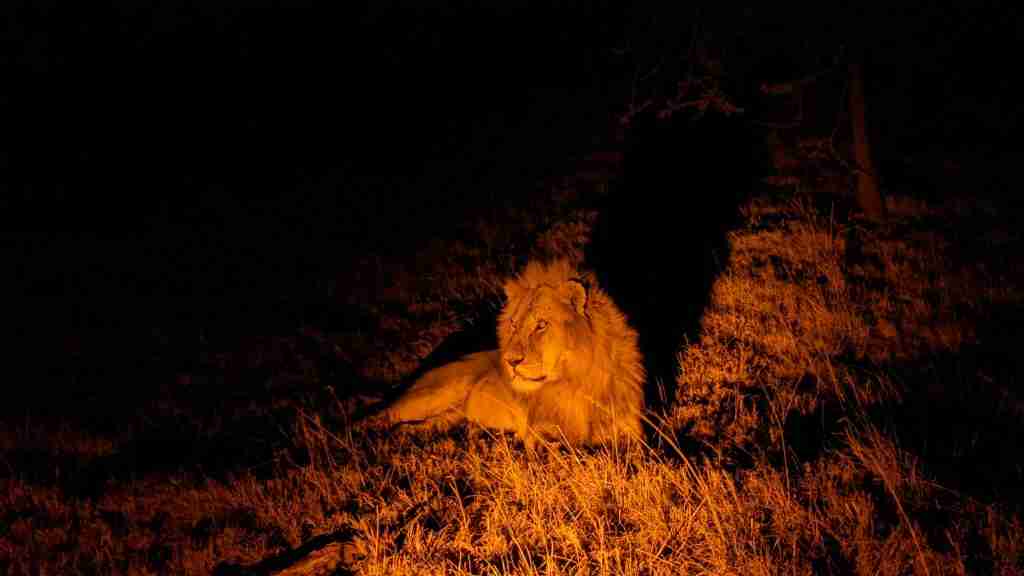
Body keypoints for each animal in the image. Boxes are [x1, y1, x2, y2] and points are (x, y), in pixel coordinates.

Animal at [380, 259, 643, 444]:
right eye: (514, 325)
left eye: (541, 325)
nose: (510, 361)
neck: (573, 381)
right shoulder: (538, 432)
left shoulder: (632, 429)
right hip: (434, 394)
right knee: (385, 413)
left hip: (451, 415)